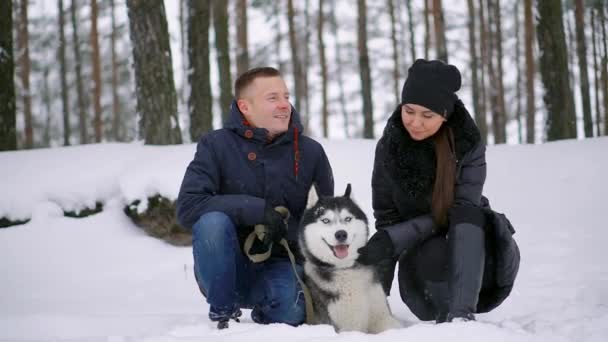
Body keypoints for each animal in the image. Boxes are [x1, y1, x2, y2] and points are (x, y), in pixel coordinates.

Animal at [296, 183, 402, 332]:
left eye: (348, 219)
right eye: (325, 220)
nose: (341, 234)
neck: (346, 269)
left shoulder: (383, 316)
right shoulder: (347, 326)